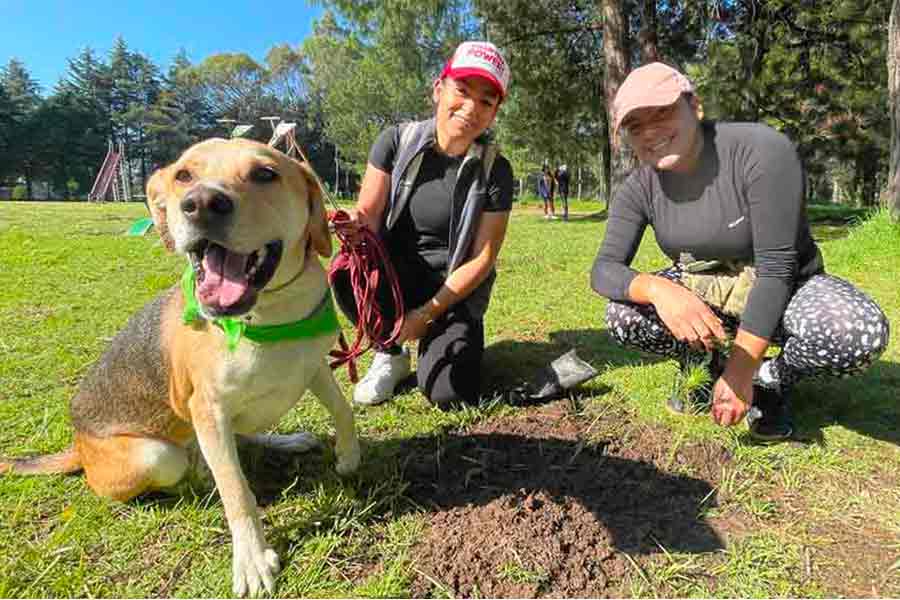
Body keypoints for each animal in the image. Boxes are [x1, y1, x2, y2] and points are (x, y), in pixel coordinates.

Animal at [0, 139, 358, 596]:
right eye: (183, 175)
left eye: (265, 173)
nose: (201, 204)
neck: (269, 315)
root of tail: (79, 445)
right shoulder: (207, 408)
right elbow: (237, 493)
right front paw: (252, 559)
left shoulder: (313, 366)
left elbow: (343, 410)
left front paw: (348, 455)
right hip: (156, 455)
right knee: (194, 466)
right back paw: (202, 476)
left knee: (243, 439)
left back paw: (286, 440)